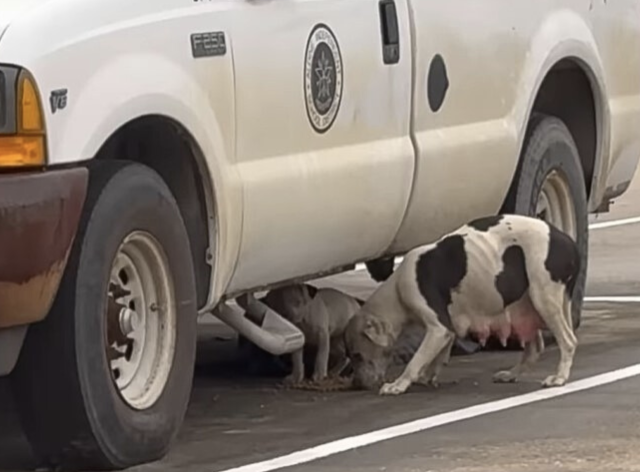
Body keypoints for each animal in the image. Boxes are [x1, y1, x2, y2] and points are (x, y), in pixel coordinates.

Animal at [344, 214, 580, 395]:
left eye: (356, 355)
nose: (356, 385)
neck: (397, 289)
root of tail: (569, 242)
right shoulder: (447, 329)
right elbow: (437, 356)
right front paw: (427, 376)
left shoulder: (438, 328)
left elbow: (416, 360)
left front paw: (399, 384)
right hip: (525, 304)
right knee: (534, 348)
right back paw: (511, 374)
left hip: (543, 298)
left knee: (568, 341)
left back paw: (559, 377)